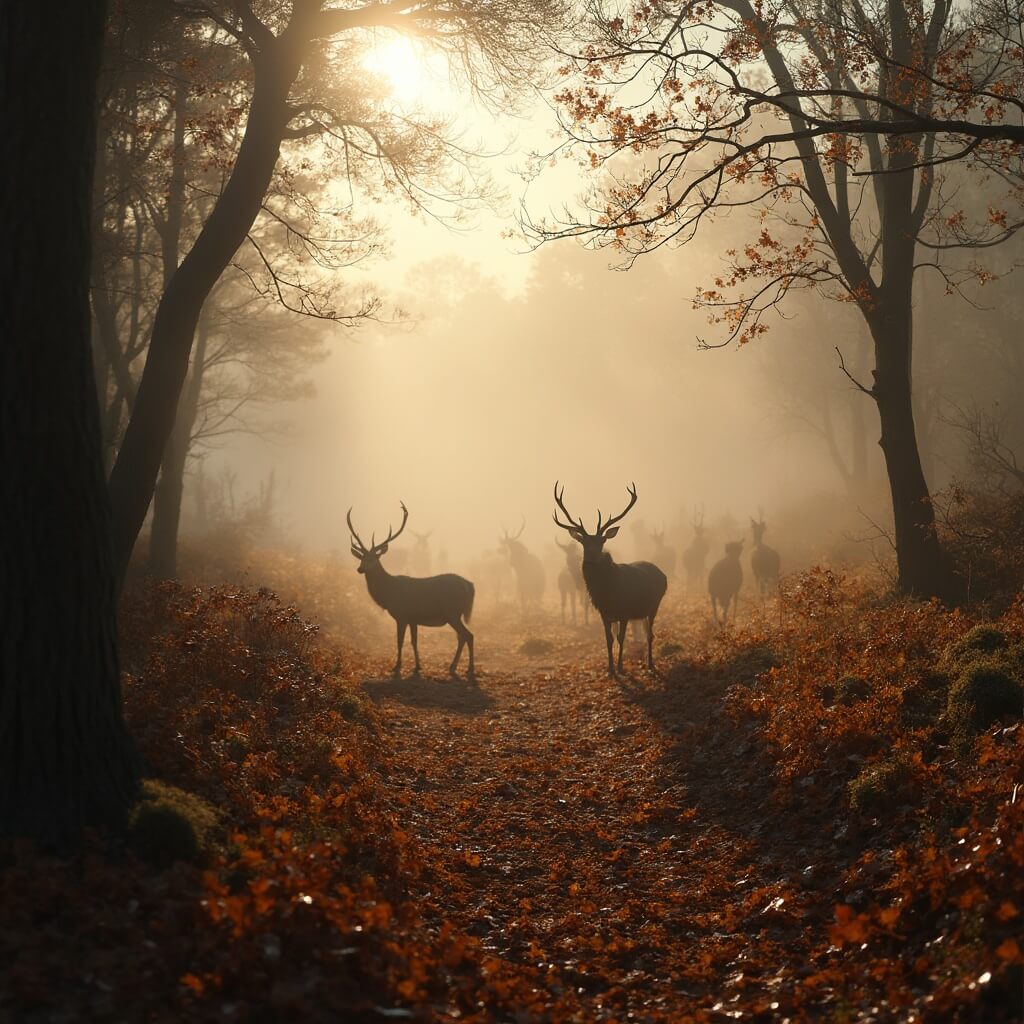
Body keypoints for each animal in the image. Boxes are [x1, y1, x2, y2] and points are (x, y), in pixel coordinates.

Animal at [348, 503, 475, 681]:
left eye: (372, 558)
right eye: (361, 558)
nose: (360, 569)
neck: (389, 592)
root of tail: (469, 585)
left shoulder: (401, 615)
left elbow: (400, 641)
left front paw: (397, 666)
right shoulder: (413, 618)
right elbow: (414, 641)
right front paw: (417, 666)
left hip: (452, 612)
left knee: (468, 635)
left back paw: (468, 669)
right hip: (455, 614)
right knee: (462, 636)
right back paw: (454, 666)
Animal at [553, 482, 668, 676]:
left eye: (602, 541)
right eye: (583, 542)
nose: (591, 557)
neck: (607, 594)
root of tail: (663, 574)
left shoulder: (625, 611)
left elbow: (621, 638)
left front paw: (620, 668)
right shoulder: (604, 613)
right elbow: (608, 639)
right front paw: (610, 669)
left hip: (654, 605)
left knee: (650, 634)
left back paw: (651, 664)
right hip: (643, 612)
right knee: (646, 631)